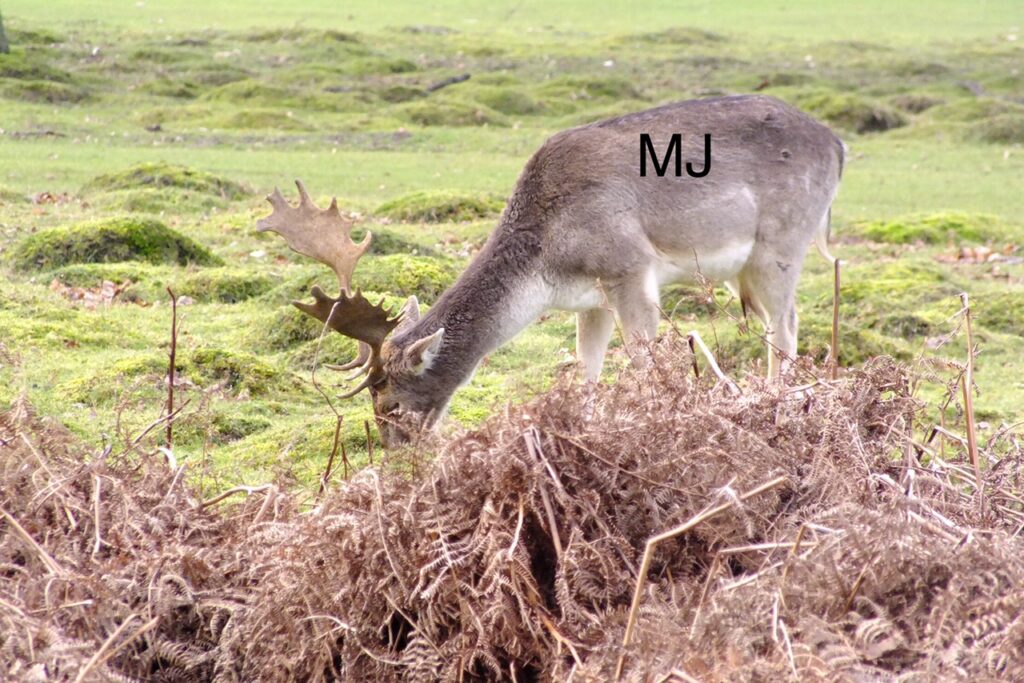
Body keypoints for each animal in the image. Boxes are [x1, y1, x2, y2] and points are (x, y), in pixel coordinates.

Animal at [257, 94, 845, 447]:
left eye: (392, 403)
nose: (399, 458)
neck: (546, 266)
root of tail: (839, 145)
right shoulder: (592, 299)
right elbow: (587, 369)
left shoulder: (628, 265)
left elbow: (643, 361)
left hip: (780, 243)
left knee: (786, 326)